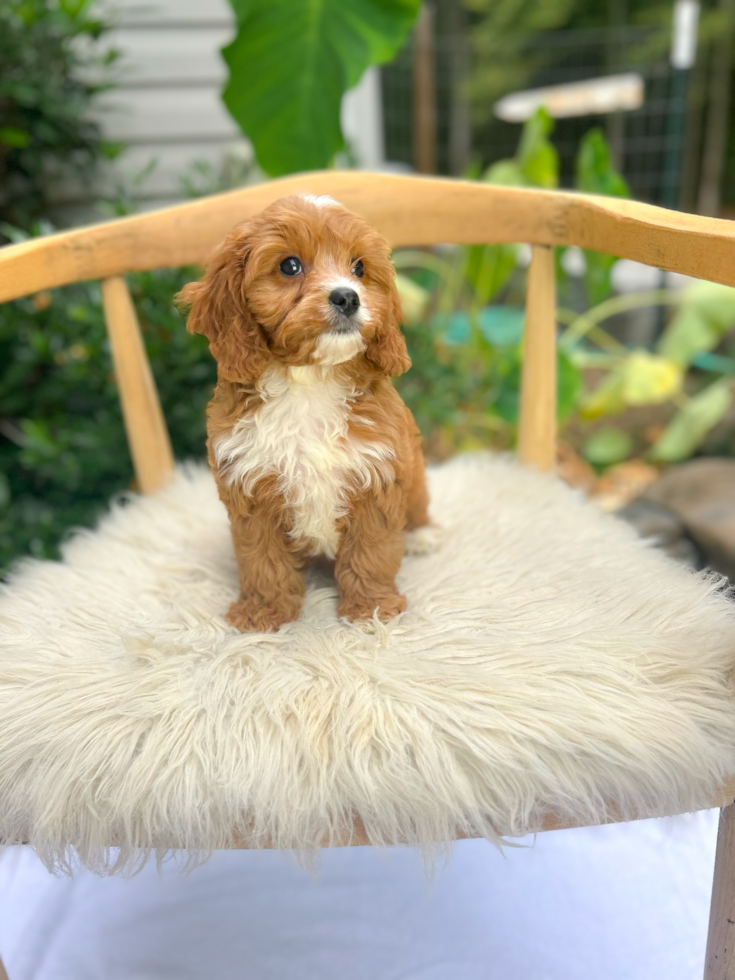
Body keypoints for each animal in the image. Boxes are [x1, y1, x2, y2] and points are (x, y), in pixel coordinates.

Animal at [178, 193, 432, 636]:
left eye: (359, 267)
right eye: (290, 266)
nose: (347, 296)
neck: (310, 380)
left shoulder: (378, 475)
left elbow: (371, 552)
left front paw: (371, 610)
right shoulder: (249, 487)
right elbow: (261, 559)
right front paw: (263, 612)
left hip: (413, 468)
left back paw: (421, 535)